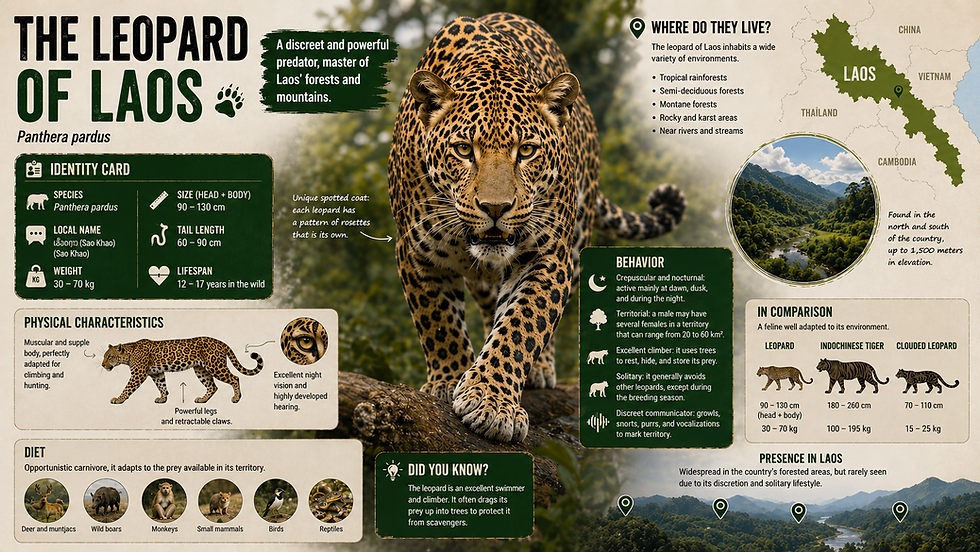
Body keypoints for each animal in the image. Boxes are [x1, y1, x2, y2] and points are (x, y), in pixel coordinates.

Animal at [101, 337, 263, 404]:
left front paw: (118, 399)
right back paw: (202, 400)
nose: (103, 365)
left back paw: (236, 398)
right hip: (200, 369)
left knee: (235, 378)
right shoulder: (156, 373)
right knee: (212, 386)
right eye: (104, 356)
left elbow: (127, 388)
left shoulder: (138, 374)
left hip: (215, 366)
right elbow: (162, 385)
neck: (128, 353)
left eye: (109, 356)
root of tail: (221, 342)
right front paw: (163, 398)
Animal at [388, 13, 686, 441]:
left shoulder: (547, 256)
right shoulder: (416, 253)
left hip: (576, 245)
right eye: (463, 150)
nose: (495, 208)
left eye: (526, 150)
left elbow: (522, 326)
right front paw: (448, 380)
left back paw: (538, 370)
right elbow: (439, 323)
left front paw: (490, 400)